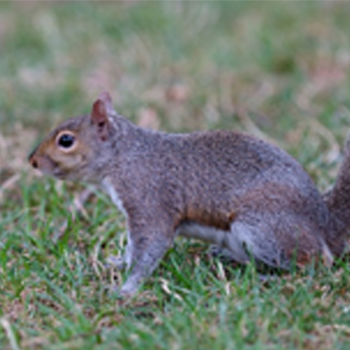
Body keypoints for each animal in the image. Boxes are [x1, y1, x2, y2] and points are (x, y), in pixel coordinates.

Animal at [28, 91, 348, 296]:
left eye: (66, 141)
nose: (32, 161)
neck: (125, 156)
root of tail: (325, 222)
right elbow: (133, 246)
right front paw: (117, 263)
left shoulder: (149, 199)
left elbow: (151, 244)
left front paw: (127, 288)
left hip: (261, 226)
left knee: (317, 261)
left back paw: (266, 276)